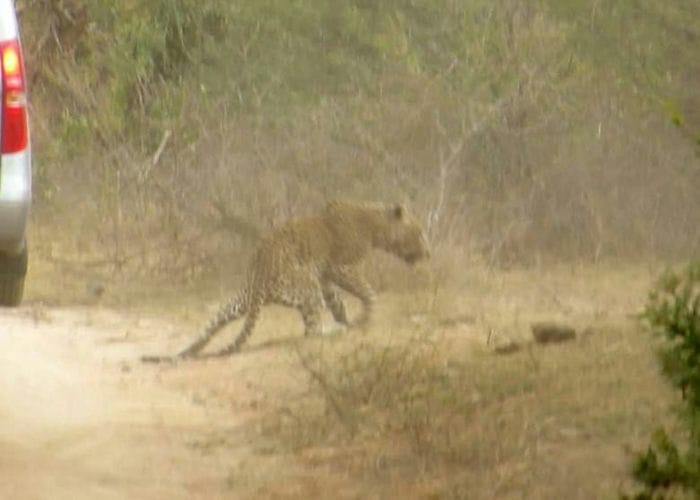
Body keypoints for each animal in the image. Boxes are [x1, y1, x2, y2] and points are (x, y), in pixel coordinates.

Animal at [150, 201, 430, 362]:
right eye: (418, 231)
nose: (428, 253)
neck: (375, 225)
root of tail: (259, 274)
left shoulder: (326, 278)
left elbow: (339, 301)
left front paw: (349, 319)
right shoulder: (341, 269)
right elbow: (369, 293)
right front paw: (362, 319)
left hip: (239, 301)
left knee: (209, 328)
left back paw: (185, 352)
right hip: (308, 287)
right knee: (312, 331)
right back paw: (334, 331)